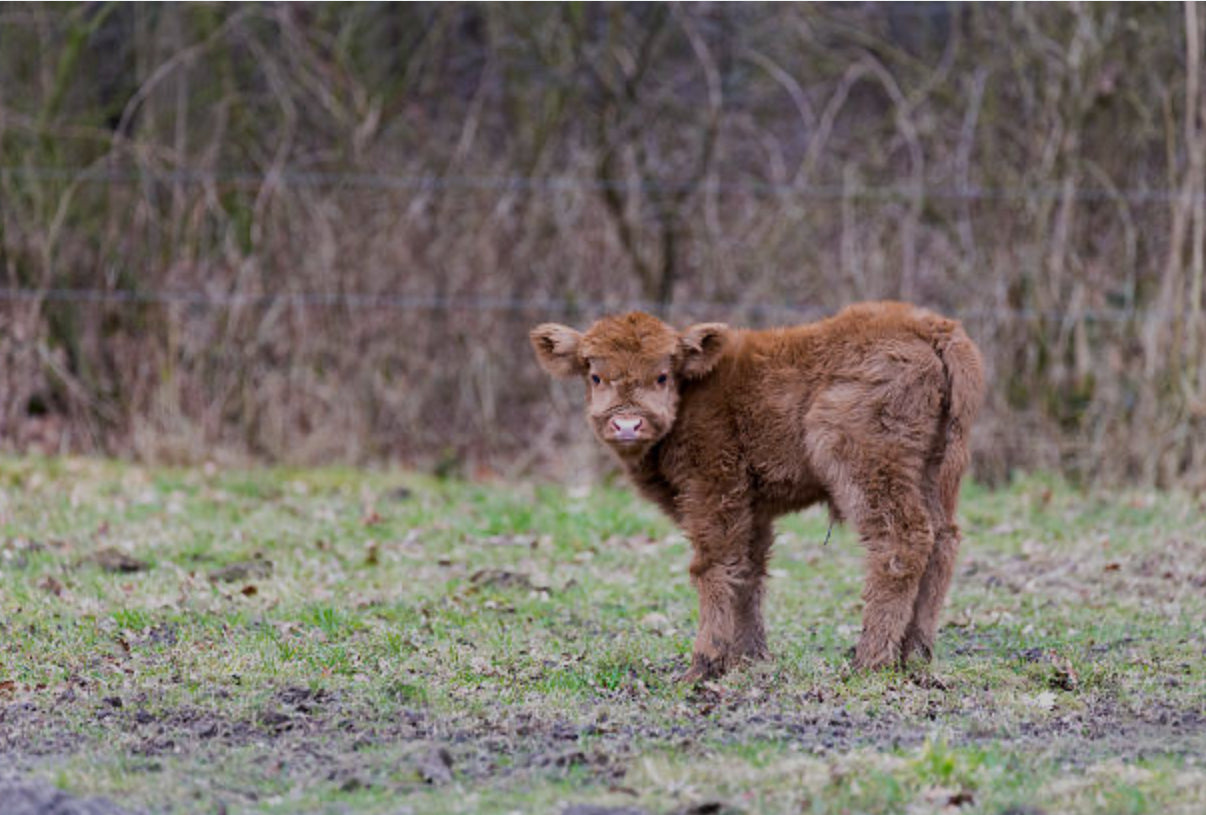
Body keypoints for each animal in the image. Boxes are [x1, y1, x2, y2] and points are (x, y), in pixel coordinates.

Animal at [530, 302, 985, 681]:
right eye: (595, 375)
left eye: (662, 374)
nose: (627, 424)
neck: (695, 390)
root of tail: (929, 325)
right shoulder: (753, 508)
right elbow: (748, 572)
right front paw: (749, 657)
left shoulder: (714, 489)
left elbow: (713, 566)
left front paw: (704, 664)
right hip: (934, 473)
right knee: (943, 542)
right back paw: (915, 653)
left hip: (868, 464)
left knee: (901, 541)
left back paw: (870, 660)